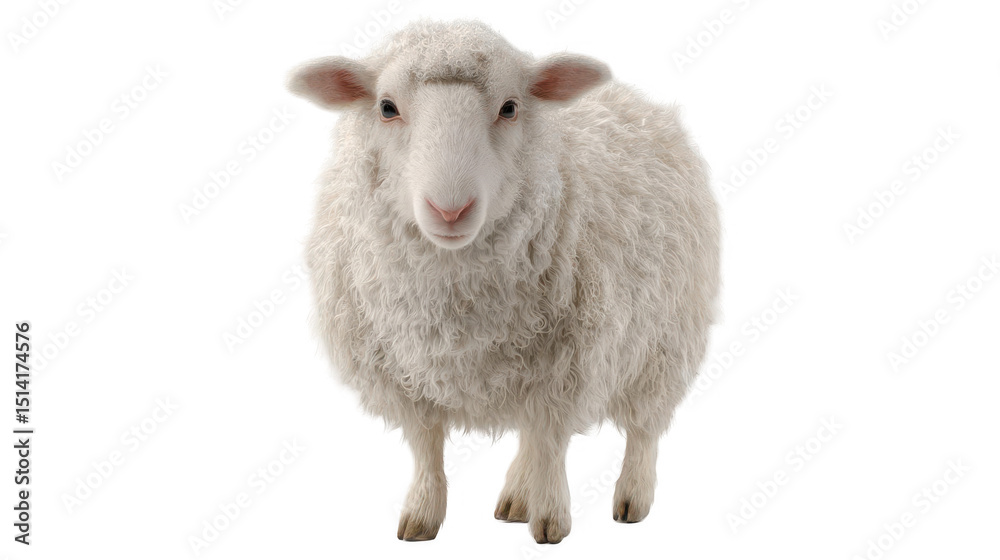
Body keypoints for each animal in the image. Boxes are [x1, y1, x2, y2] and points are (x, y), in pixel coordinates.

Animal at [288, 19, 721, 544]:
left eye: (510, 107)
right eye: (387, 107)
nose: (450, 209)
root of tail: (630, 97)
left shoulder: (570, 366)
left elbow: (552, 445)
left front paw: (551, 520)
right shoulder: (404, 378)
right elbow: (427, 448)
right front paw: (421, 514)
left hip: (665, 339)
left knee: (642, 428)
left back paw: (631, 497)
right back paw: (516, 496)